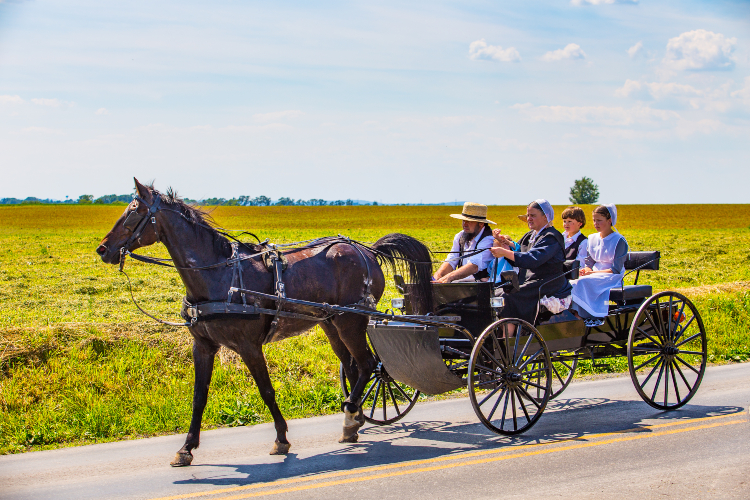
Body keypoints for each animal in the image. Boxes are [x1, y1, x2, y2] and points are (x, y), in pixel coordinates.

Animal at [98, 179, 434, 464]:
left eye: (134, 211)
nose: (103, 249)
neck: (218, 276)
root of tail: (367, 250)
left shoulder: (248, 346)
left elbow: (266, 391)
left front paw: (281, 439)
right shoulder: (203, 346)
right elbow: (198, 397)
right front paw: (186, 448)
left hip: (351, 320)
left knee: (368, 365)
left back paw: (351, 416)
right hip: (331, 323)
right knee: (352, 367)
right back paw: (355, 420)